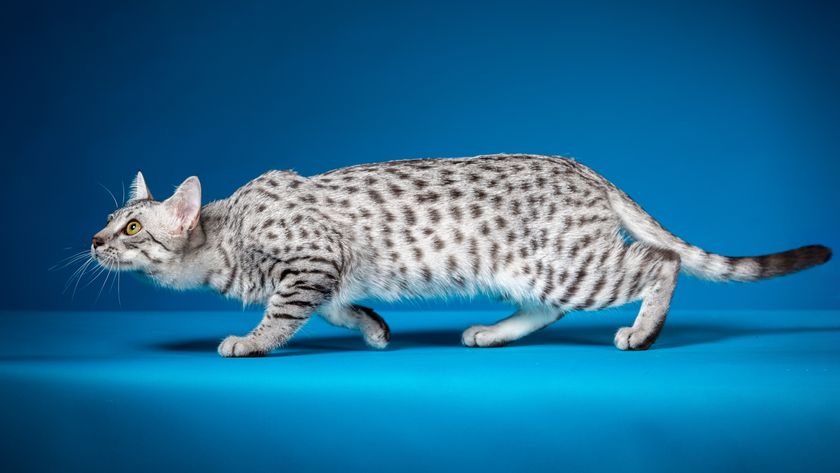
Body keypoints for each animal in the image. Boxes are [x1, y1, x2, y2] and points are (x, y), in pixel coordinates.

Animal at [90, 153, 828, 356]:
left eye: (133, 228)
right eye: (106, 222)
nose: (94, 241)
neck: (225, 235)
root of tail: (586, 170)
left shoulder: (311, 261)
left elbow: (281, 315)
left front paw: (248, 340)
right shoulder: (327, 276)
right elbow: (337, 310)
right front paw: (375, 330)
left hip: (569, 265)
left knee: (660, 263)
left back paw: (642, 333)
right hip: (532, 271)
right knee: (546, 310)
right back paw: (492, 332)